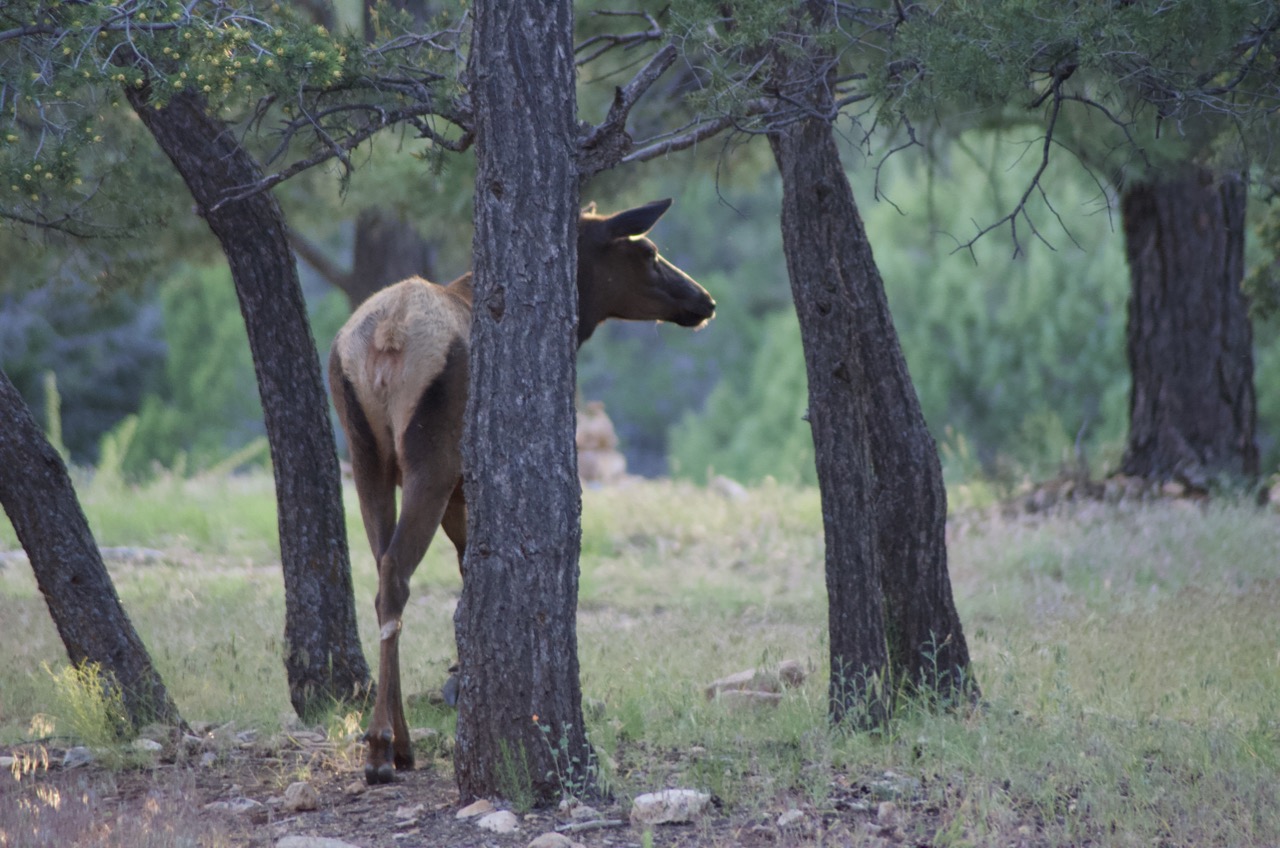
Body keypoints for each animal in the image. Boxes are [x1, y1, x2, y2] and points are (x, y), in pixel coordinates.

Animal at [325, 199, 716, 783]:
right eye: (646, 250)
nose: (703, 300)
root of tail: (385, 341)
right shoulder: (463, 485)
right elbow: (467, 575)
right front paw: (458, 679)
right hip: (431, 459)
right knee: (395, 573)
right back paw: (382, 747)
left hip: (366, 452)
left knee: (381, 571)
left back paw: (396, 741)